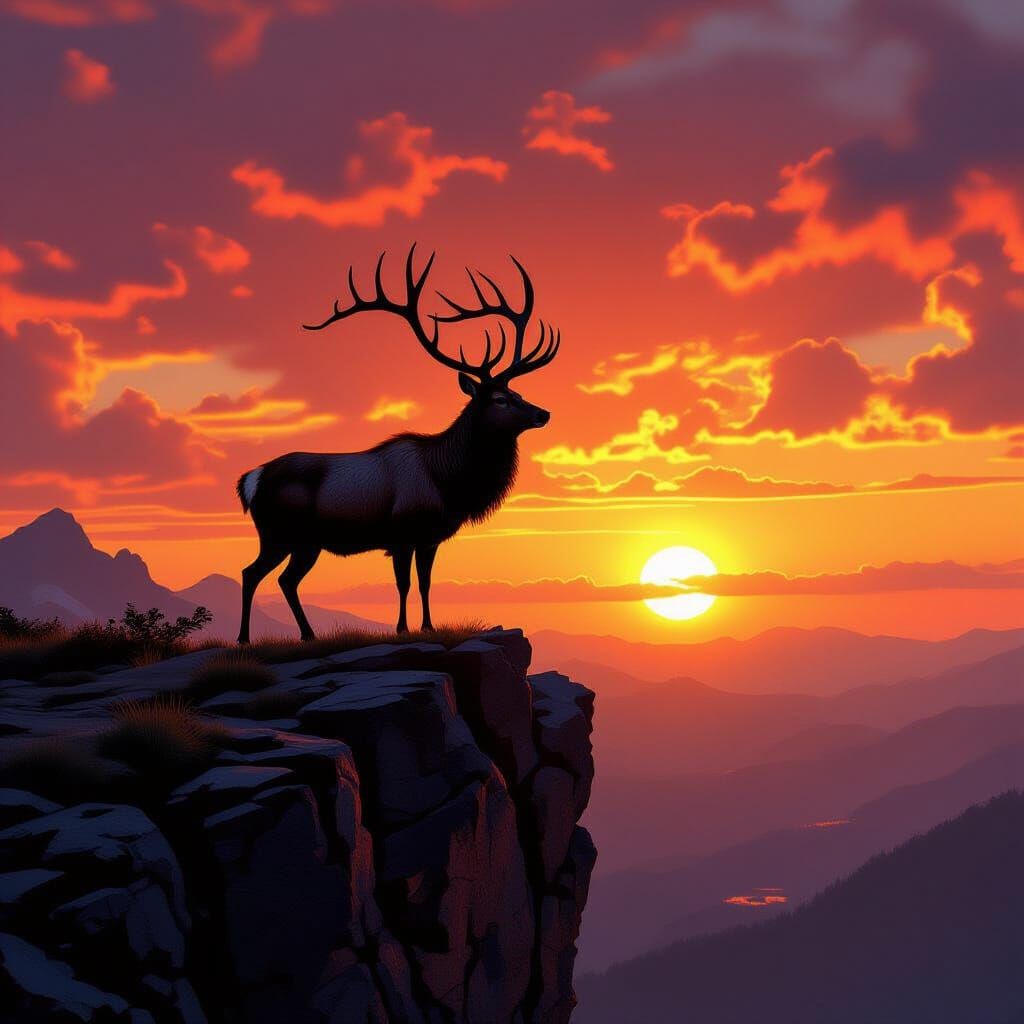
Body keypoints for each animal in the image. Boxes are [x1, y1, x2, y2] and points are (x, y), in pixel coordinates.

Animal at [235, 245, 560, 643]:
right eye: (499, 399)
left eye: (518, 392)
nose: (543, 413)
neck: (449, 481)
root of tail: (252, 479)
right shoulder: (402, 533)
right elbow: (403, 585)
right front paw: (403, 628)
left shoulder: (430, 537)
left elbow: (425, 583)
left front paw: (428, 626)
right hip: (279, 533)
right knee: (252, 573)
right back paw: (244, 638)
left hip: (305, 542)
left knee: (285, 580)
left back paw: (308, 635)